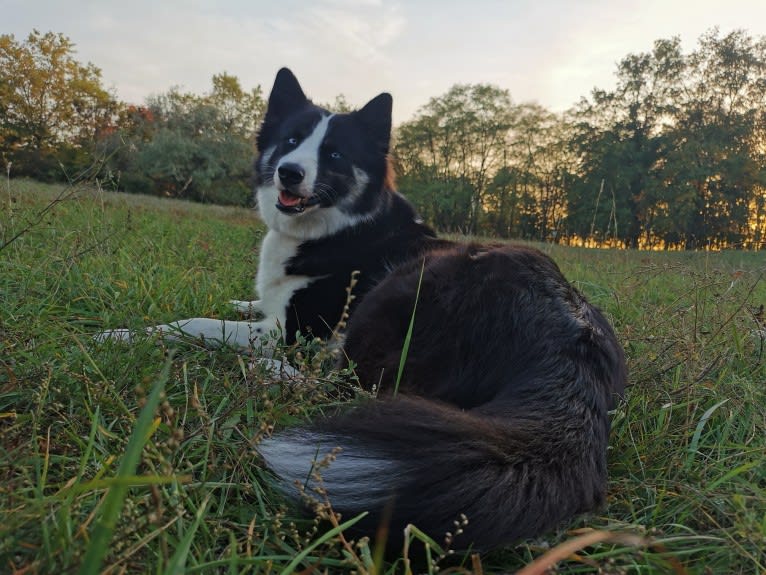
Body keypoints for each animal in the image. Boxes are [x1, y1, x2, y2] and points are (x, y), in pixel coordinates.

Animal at [100, 70, 632, 556]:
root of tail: (572, 348)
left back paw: (267, 372)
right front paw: (237, 299)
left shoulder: (292, 331)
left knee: (346, 385)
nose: (288, 171)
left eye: (334, 154)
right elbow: (247, 302)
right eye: (291, 140)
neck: (336, 227)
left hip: (401, 292)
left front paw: (124, 334)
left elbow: (196, 323)